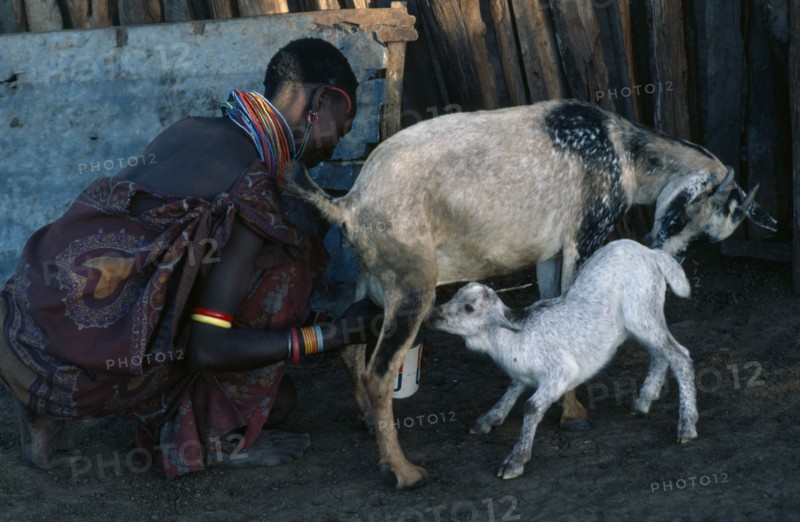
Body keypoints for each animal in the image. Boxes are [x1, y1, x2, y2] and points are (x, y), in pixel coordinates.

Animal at [426, 239, 697, 480]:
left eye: (469, 308)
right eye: (454, 297)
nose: (433, 315)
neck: (513, 337)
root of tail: (651, 253)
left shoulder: (560, 372)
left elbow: (532, 406)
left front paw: (515, 460)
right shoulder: (523, 373)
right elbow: (512, 389)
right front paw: (489, 419)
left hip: (641, 312)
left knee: (679, 355)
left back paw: (686, 425)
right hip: (642, 321)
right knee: (660, 354)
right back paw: (643, 402)